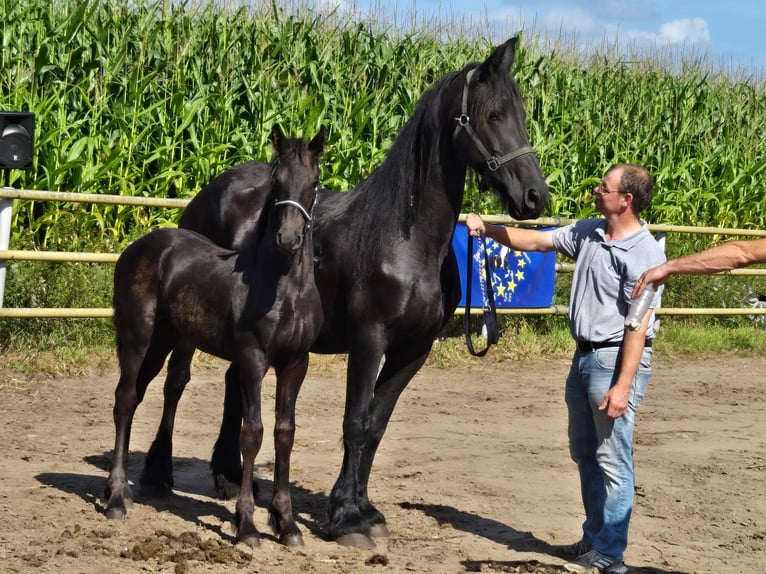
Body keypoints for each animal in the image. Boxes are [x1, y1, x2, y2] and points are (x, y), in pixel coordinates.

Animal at [104, 126, 328, 548]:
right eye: (276, 181)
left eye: (315, 183)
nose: (288, 239)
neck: (283, 287)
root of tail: (140, 246)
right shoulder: (254, 359)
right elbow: (252, 432)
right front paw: (247, 525)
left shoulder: (296, 362)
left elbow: (285, 432)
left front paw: (287, 523)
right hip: (137, 334)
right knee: (124, 399)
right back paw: (114, 499)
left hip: (164, 338)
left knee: (138, 394)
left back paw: (124, 487)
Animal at [141, 35, 548, 548]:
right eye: (493, 115)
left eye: (522, 114)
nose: (535, 196)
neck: (406, 239)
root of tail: (209, 193)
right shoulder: (369, 339)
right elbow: (354, 421)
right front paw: (345, 520)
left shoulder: (414, 349)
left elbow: (375, 425)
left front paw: (362, 509)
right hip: (186, 328)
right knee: (175, 383)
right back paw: (158, 474)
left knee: (234, 384)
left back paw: (231, 477)